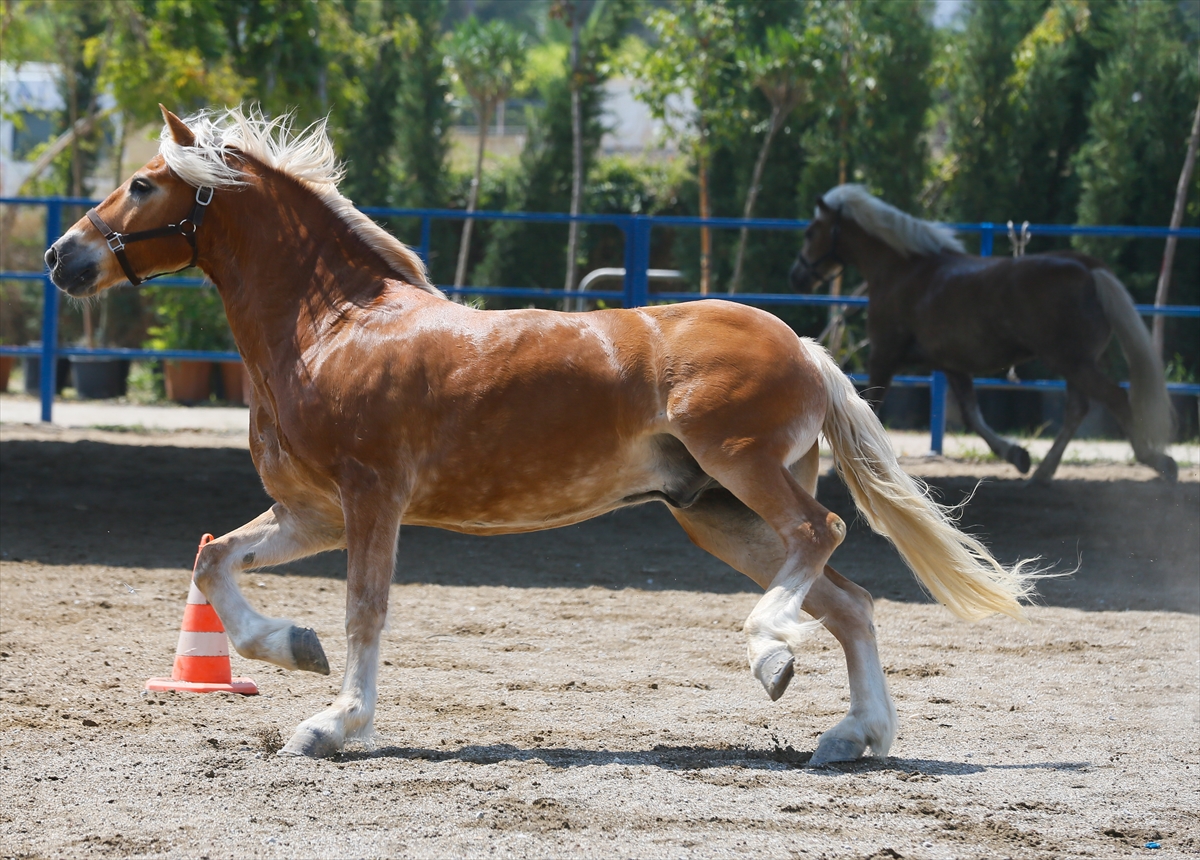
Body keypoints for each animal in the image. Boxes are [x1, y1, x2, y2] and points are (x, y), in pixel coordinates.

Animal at [49, 109, 1041, 762]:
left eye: (142, 184)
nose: (64, 257)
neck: (332, 325)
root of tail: (801, 342)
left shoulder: (372, 498)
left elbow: (367, 608)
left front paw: (335, 723)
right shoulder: (311, 513)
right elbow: (213, 561)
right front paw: (295, 650)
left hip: (744, 474)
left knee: (823, 538)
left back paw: (769, 654)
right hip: (713, 512)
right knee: (850, 600)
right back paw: (853, 733)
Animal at [792, 182, 1176, 482]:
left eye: (811, 232)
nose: (798, 275)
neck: (905, 268)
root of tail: (1087, 267)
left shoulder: (884, 354)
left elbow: (872, 403)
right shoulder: (951, 365)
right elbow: (972, 415)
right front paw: (1018, 455)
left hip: (1072, 361)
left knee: (1115, 397)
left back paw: (1159, 462)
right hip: (1074, 363)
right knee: (1077, 409)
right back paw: (1042, 472)